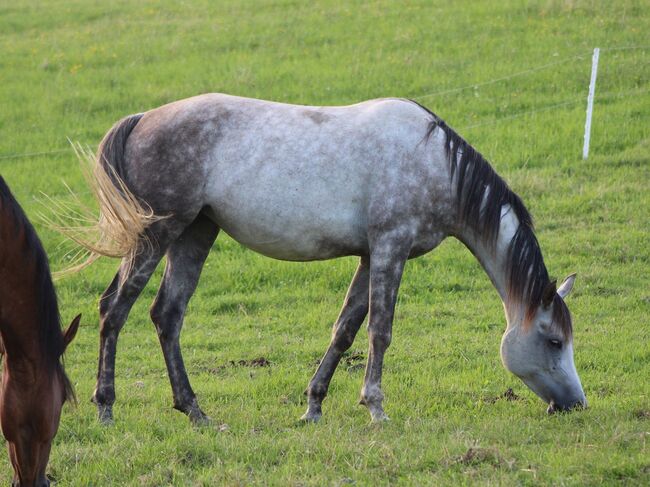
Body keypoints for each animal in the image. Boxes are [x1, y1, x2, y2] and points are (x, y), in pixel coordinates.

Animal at [72, 93, 588, 426]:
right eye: (554, 341)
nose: (576, 403)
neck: (434, 163)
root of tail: (143, 118)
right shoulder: (390, 250)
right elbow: (380, 330)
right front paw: (376, 408)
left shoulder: (370, 257)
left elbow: (344, 330)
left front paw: (314, 406)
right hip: (157, 234)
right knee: (114, 309)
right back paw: (106, 408)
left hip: (195, 233)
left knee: (167, 314)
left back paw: (195, 411)